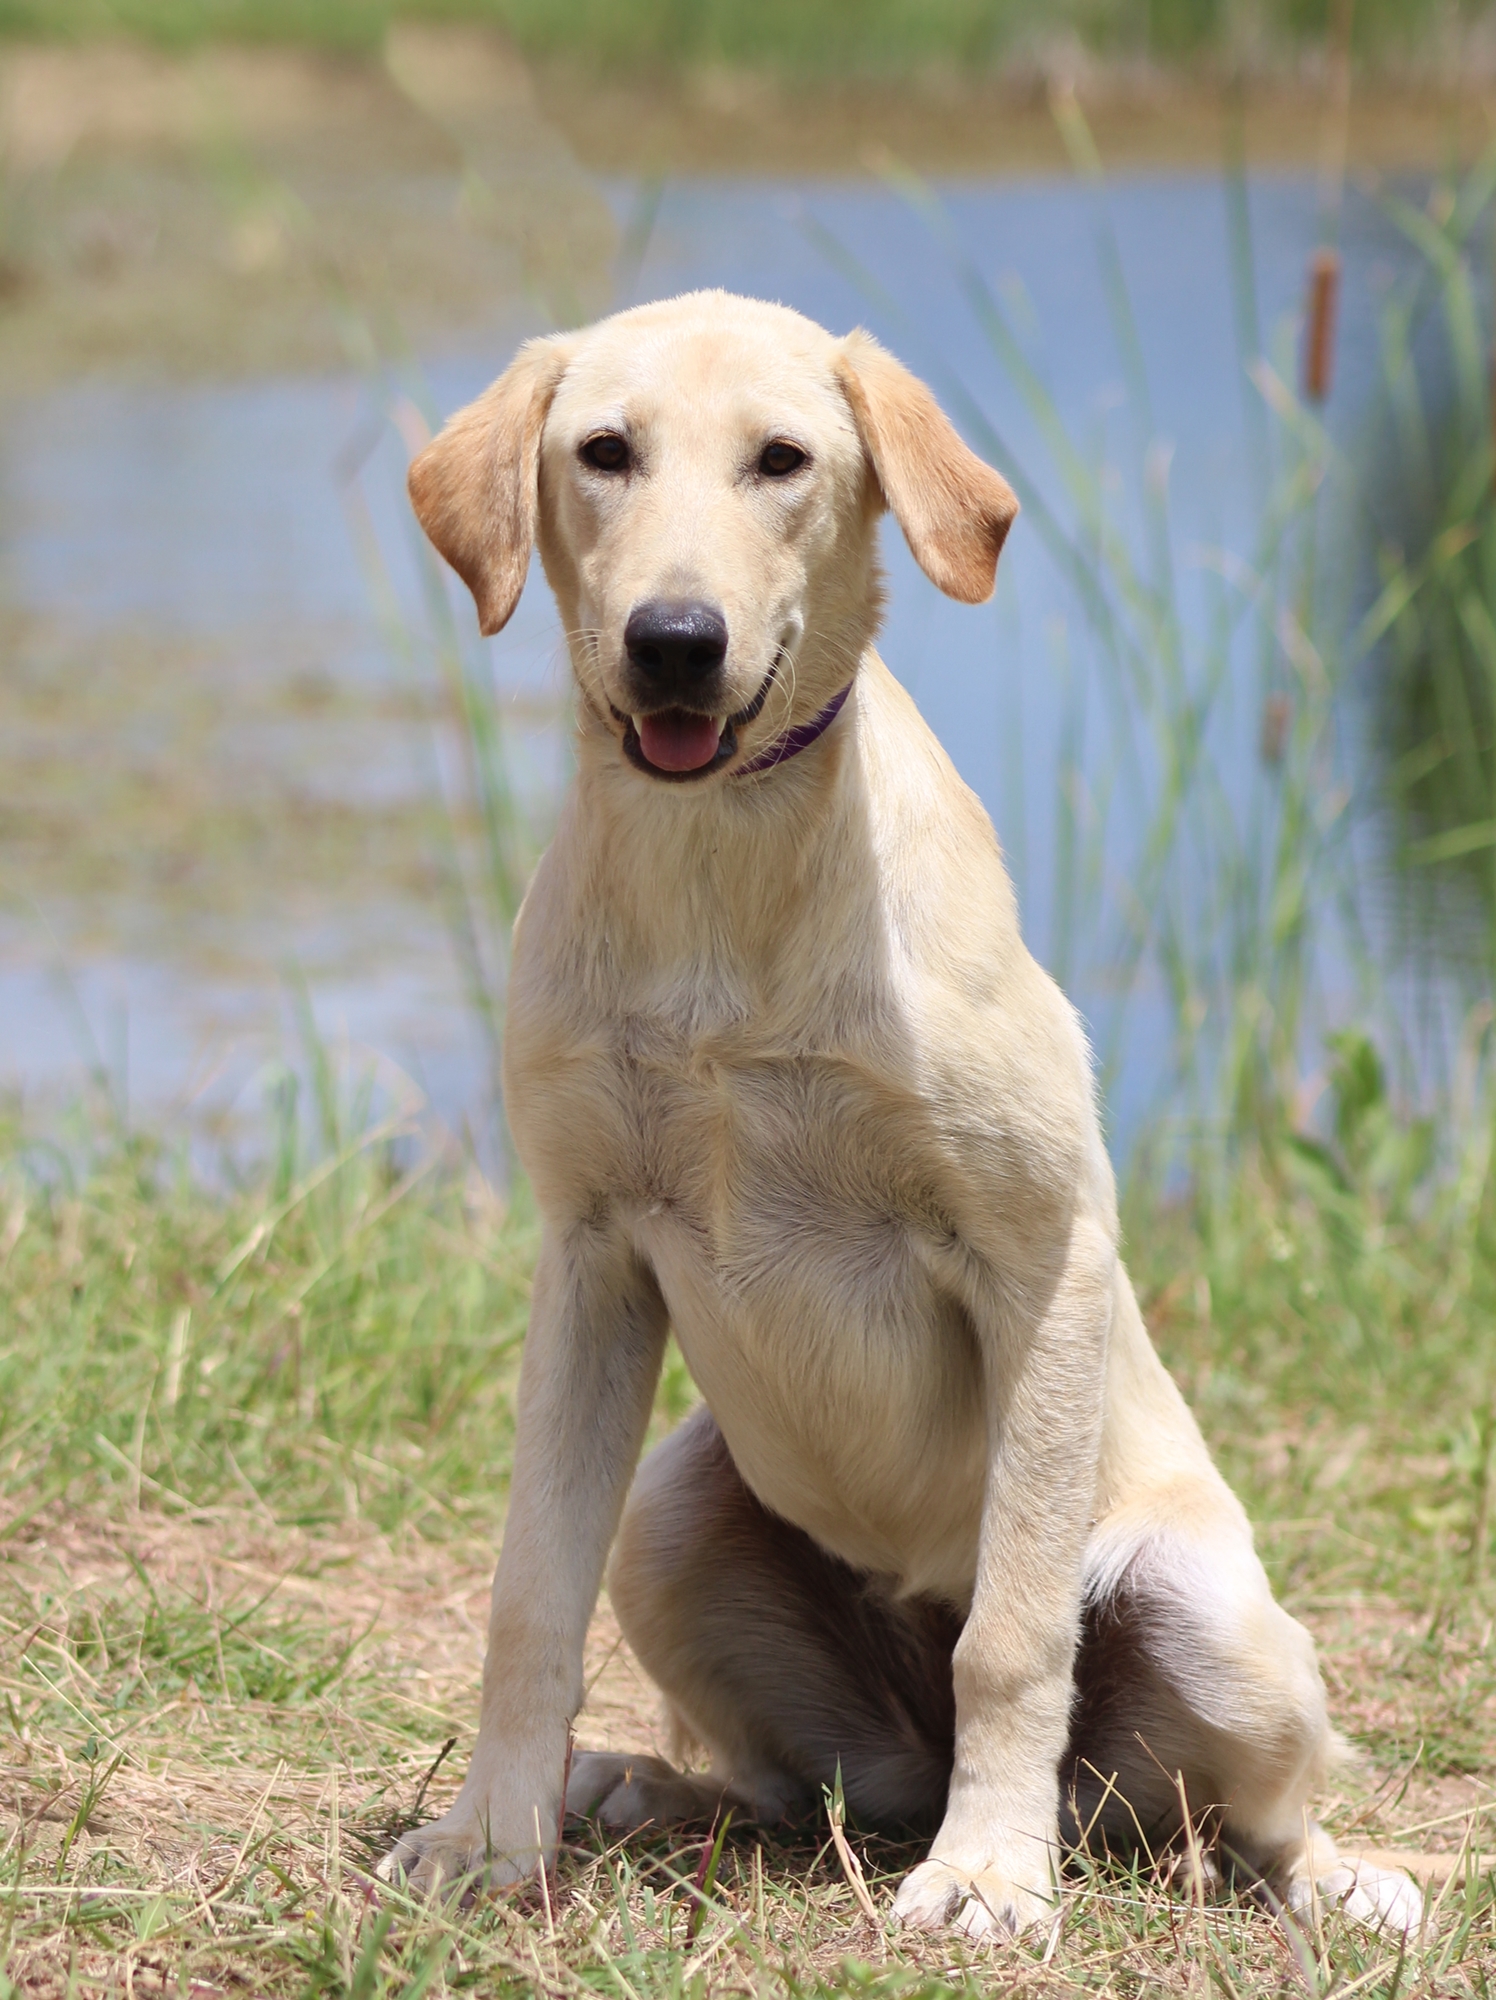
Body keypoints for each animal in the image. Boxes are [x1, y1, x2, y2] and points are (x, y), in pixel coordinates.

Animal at [380, 286, 1424, 1936]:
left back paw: (1311, 1877)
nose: (675, 644)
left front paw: (990, 1879)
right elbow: (528, 1595)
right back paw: (640, 1784)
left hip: (1204, 1612)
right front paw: (491, 1839)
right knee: (779, 1783)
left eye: (782, 460)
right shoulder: (591, 1255)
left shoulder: (1036, 1256)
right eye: (604, 452)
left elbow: (1013, 1637)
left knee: (1244, 1811)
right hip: (678, 1516)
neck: (725, 865)